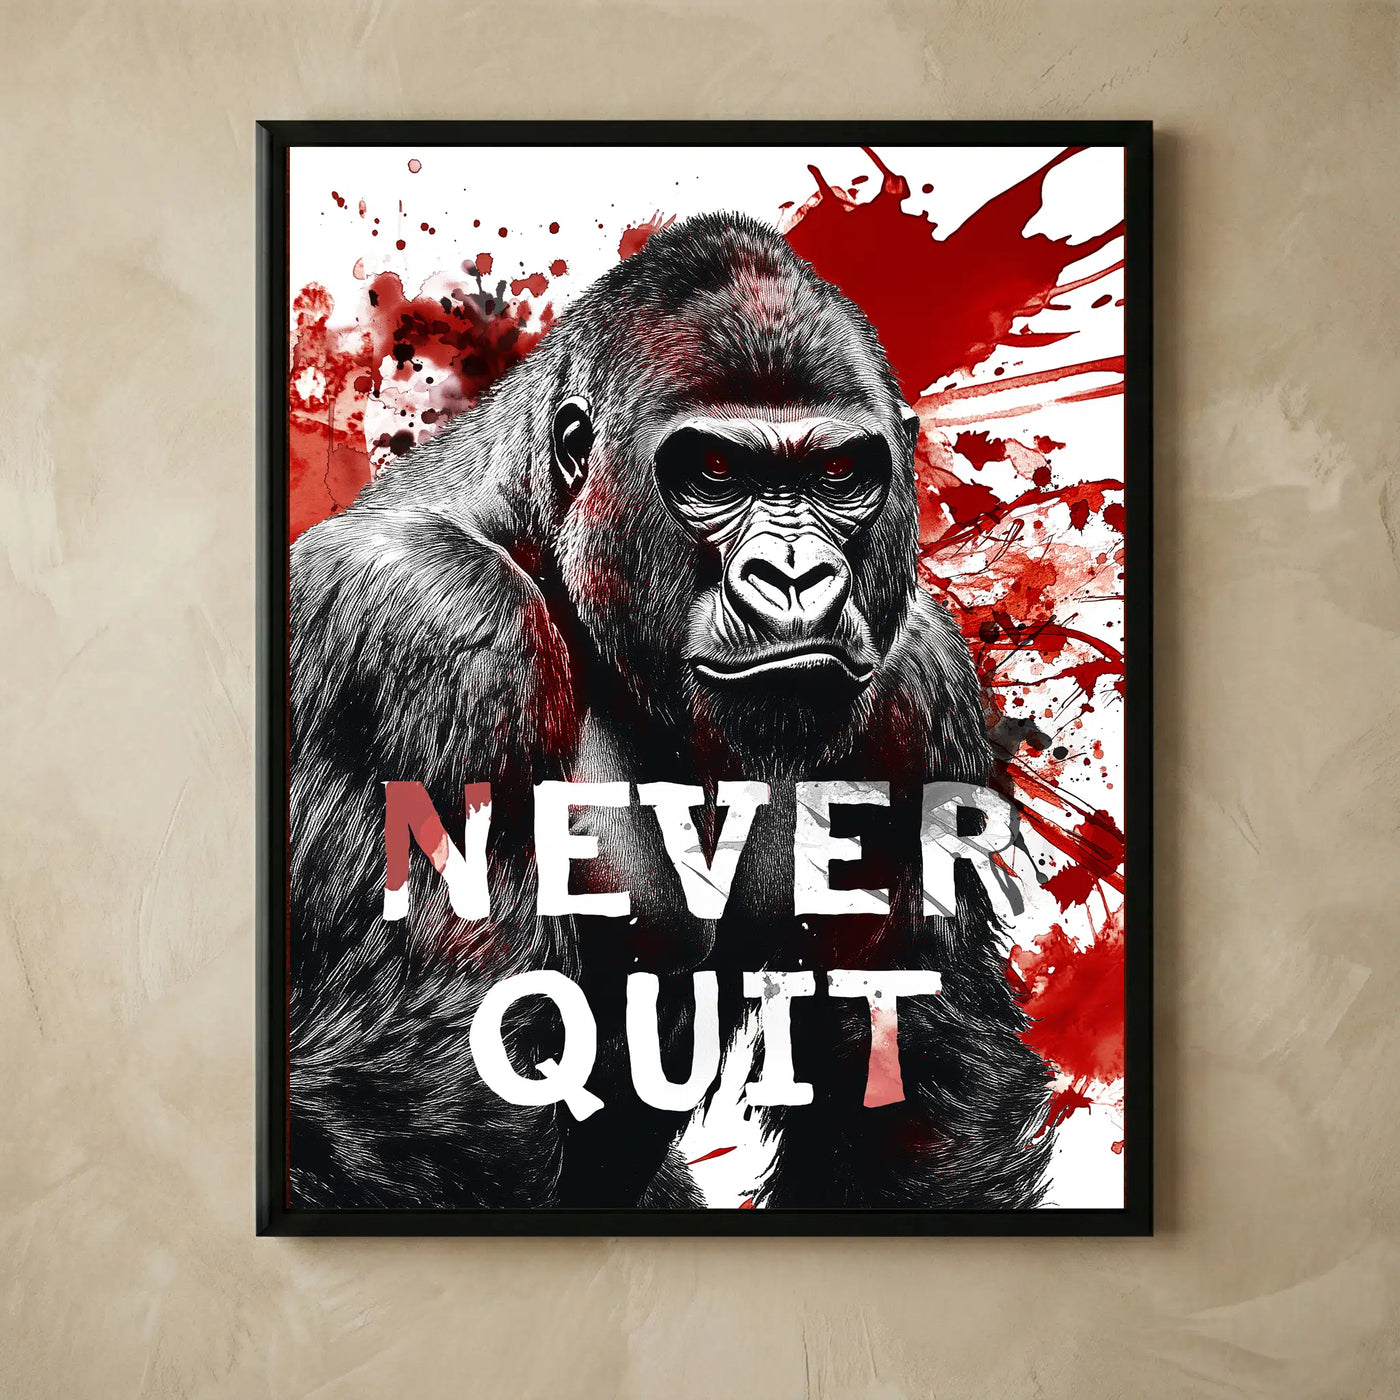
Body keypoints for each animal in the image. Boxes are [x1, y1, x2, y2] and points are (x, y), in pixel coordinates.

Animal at [286, 212, 1053, 1211]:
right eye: (716, 471)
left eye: (840, 473)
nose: (795, 576)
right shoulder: (428, 629)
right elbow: (426, 1103)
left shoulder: (921, 689)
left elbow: (914, 1071)